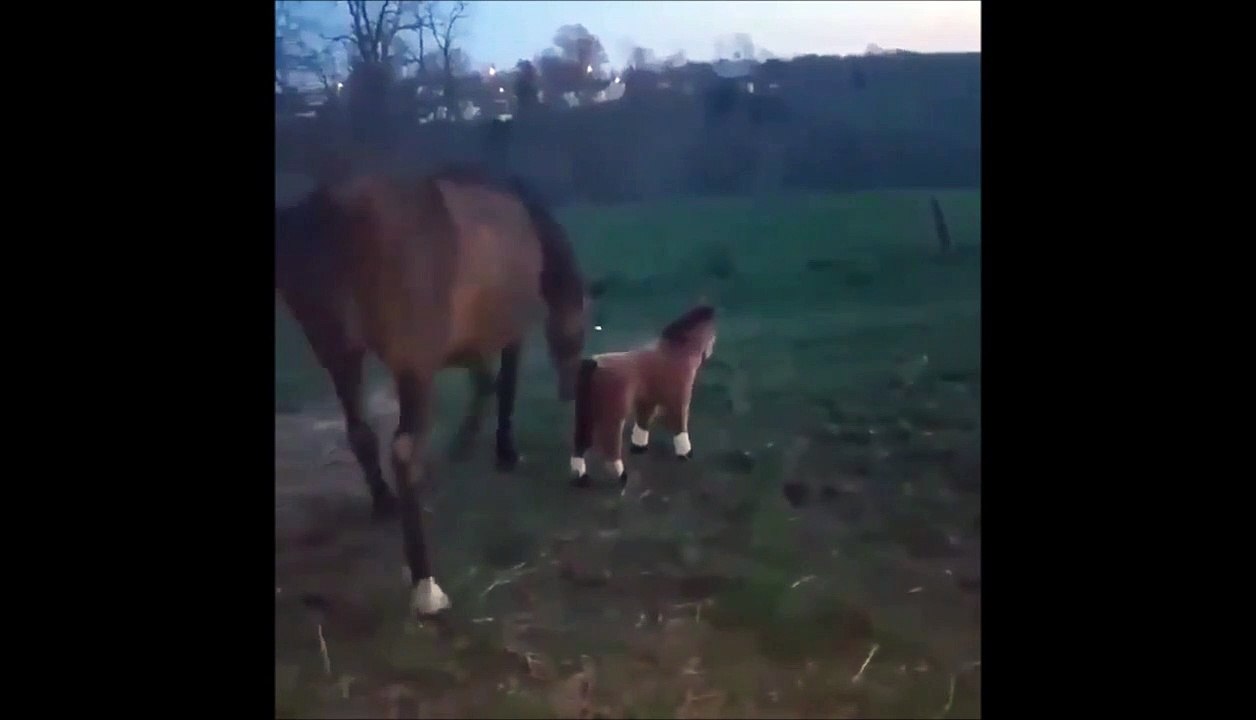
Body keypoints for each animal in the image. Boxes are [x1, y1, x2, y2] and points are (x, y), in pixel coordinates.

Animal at [275, 165, 588, 616]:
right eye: (579, 331)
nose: (569, 389)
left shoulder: (462, 345)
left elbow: (484, 381)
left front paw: (464, 442)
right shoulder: (507, 335)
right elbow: (504, 388)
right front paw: (504, 450)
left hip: (340, 357)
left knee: (361, 433)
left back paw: (384, 503)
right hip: (410, 370)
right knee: (404, 452)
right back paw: (426, 586)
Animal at [569, 305, 717, 488]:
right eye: (711, 334)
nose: (711, 350)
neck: (675, 353)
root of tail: (593, 364)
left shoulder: (648, 401)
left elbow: (643, 422)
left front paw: (639, 446)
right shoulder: (679, 399)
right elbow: (680, 426)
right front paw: (686, 453)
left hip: (585, 413)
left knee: (580, 444)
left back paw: (581, 476)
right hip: (612, 417)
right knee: (610, 445)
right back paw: (621, 475)